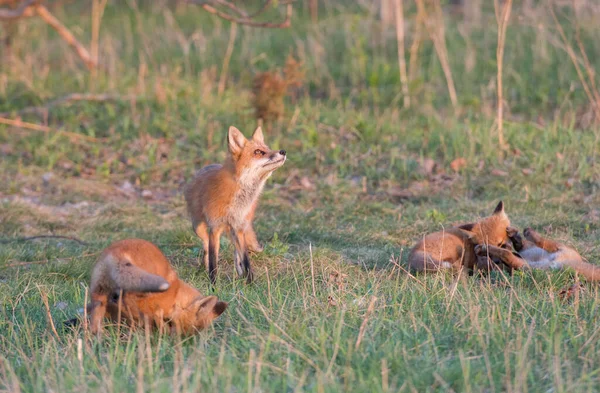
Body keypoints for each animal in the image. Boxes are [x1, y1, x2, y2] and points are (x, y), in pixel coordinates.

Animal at [83, 239, 226, 334]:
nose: (182, 342)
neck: (177, 294)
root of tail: (118, 253)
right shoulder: (154, 306)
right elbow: (156, 319)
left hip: (98, 294)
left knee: (97, 320)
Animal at [183, 127, 286, 284]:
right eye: (258, 152)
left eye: (268, 149)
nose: (283, 151)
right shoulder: (215, 228)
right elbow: (213, 261)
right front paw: (213, 285)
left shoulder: (238, 227)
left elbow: (246, 259)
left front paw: (250, 283)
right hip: (198, 227)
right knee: (206, 245)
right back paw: (204, 267)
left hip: (238, 229)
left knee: (236, 252)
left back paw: (239, 272)